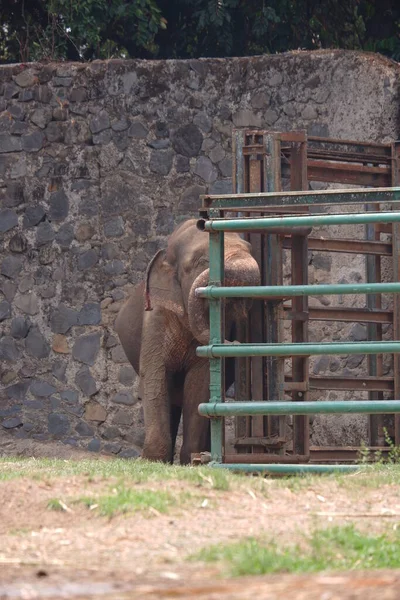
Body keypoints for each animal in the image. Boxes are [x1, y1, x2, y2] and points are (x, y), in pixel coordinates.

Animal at [114, 219, 260, 464]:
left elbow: (199, 381)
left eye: (250, 249)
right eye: (202, 261)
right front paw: (153, 460)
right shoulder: (155, 317)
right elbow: (155, 375)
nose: (235, 342)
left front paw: (192, 460)